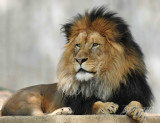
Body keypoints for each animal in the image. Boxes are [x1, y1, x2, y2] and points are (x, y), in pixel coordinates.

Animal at [1, 6, 154, 122]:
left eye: (95, 45)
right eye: (78, 45)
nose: (79, 60)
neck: (104, 79)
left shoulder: (134, 94)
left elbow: (137, 102)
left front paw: (136, 110)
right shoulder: (79, 104)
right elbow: (93, 104)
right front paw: (107, 106)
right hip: (29, 100)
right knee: (40, 116)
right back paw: (64, 111)